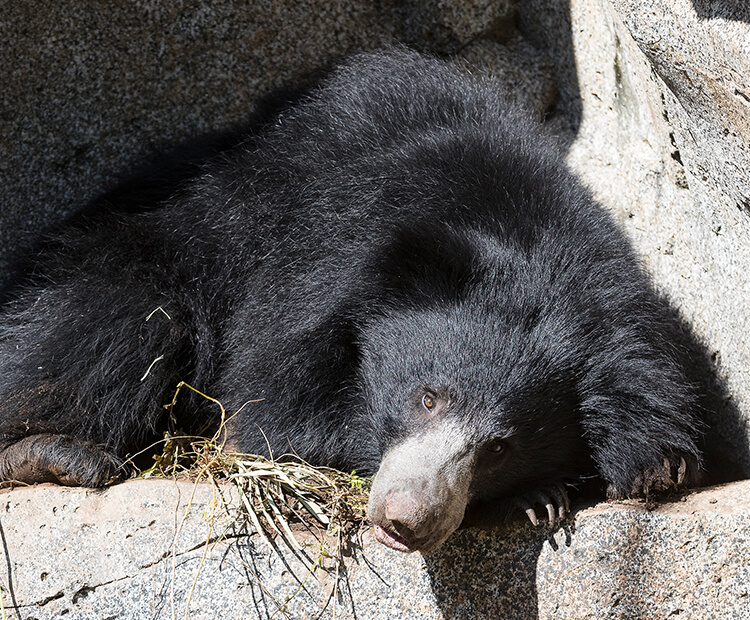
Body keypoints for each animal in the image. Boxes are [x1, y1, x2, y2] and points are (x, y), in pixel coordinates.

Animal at [0, 49, 704, 552]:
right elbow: (268, 417)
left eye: (501, 447)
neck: (524, 239)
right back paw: (60, 454)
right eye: (427, 397)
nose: (405, 520)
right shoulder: (305, 275)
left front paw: (547, 494)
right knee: (115, 327)